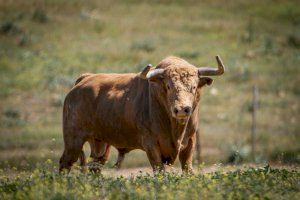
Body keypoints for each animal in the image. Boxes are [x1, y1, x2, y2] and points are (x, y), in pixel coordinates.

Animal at [59, 55, 225, 173]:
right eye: (168, 86)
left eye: (194, 86)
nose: (182, 109)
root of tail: (84, 79)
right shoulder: (151, 144)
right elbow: (159, 171)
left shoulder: (190, 142)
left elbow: (187, 170)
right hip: (73, 140)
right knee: (65, 163)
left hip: (100, 143)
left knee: (95, 167)